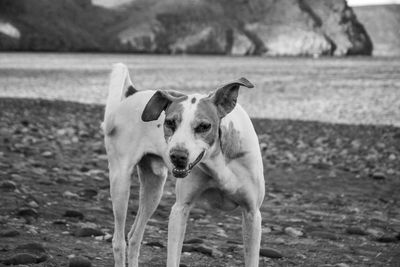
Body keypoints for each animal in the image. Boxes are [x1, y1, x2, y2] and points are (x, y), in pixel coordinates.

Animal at [103, 63, 266, 267]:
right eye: (170, 122)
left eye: (204, 126)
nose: (177, 156)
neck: (218, 163)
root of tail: (134, 93)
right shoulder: (180, 209)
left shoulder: (252, 214)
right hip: (120, 184)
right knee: (119, 241)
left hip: (154, 189)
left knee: (134, 237)